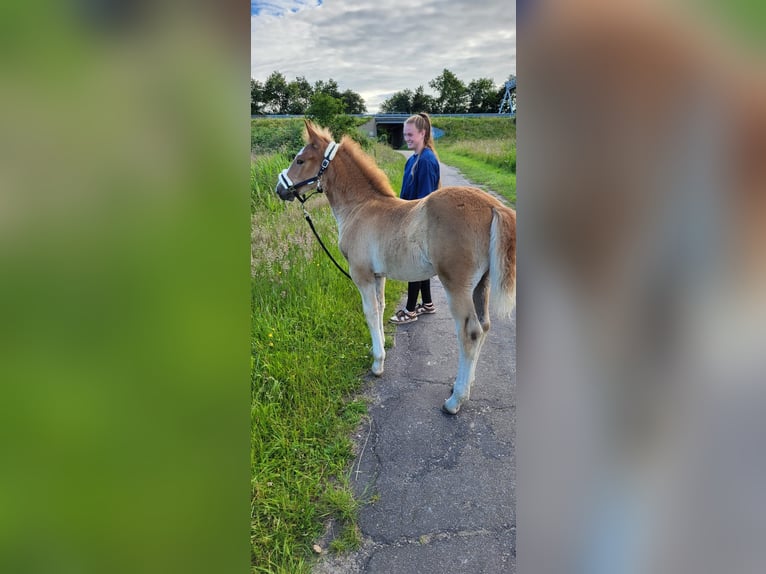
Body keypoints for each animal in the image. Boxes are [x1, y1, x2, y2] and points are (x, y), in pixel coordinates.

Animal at [276, 121, 516, 414]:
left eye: (300, 160)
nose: (279, 189)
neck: (360, 208)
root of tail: (493, 205)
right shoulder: (378, 276)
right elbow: (379, 310)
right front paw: (377, 351)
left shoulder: (362, 275)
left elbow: (369, 312)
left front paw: (377, 364)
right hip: (482, 284)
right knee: (484, 326)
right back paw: (465, 386)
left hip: (457, 285)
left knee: (470, 332)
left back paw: (455, 400)